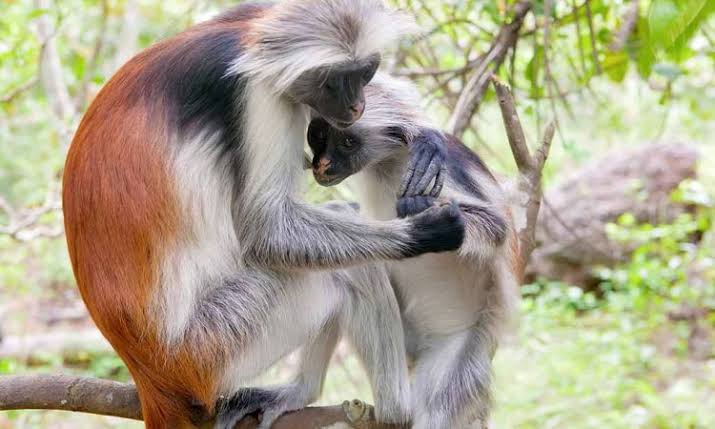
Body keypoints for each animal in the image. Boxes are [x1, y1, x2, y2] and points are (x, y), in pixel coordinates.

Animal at [62, 2, 465, 428]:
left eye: (364, 73)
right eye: (335, 81)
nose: (357, 107)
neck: (248, 39)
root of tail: (149, 375)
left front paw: (417, 127)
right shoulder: (257, 94)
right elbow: (266, 231)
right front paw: (424, 232)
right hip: (214, 345)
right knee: (350, 271)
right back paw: (393, 411)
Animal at [307, 72, 521, 429]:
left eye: (348, 142)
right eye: (320, 136)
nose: (322, 165)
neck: (388, 161)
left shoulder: (441, 172)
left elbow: (497, 228)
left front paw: (427, 213)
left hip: (458, 351)